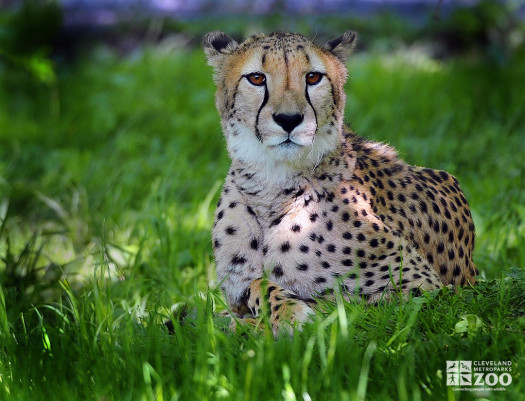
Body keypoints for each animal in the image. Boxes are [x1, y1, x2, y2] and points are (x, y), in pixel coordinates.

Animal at [203, 28, 476, 334]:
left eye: (313, 77)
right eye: (257, 78)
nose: (289, 119)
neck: (272, 185)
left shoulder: (427, 290)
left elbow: (334, 303)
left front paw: (285, 315)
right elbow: (251, 286)